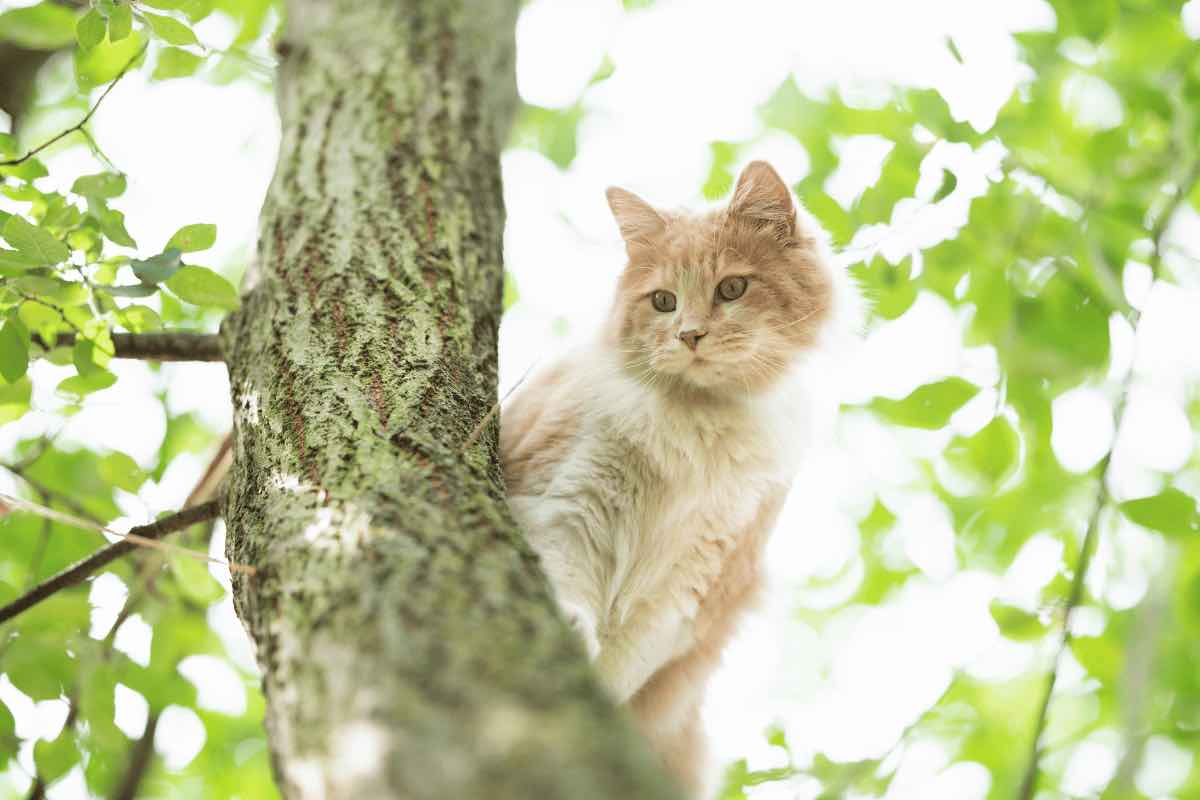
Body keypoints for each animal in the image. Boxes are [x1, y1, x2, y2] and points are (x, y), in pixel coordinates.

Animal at [501, 160, 859, 796]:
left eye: (732, 289)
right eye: (664, 301)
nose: (690, 335)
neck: (697, 423)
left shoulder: (697, 583)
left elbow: (625, 661)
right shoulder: (569, 497)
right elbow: (563, 570)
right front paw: (570, 627)